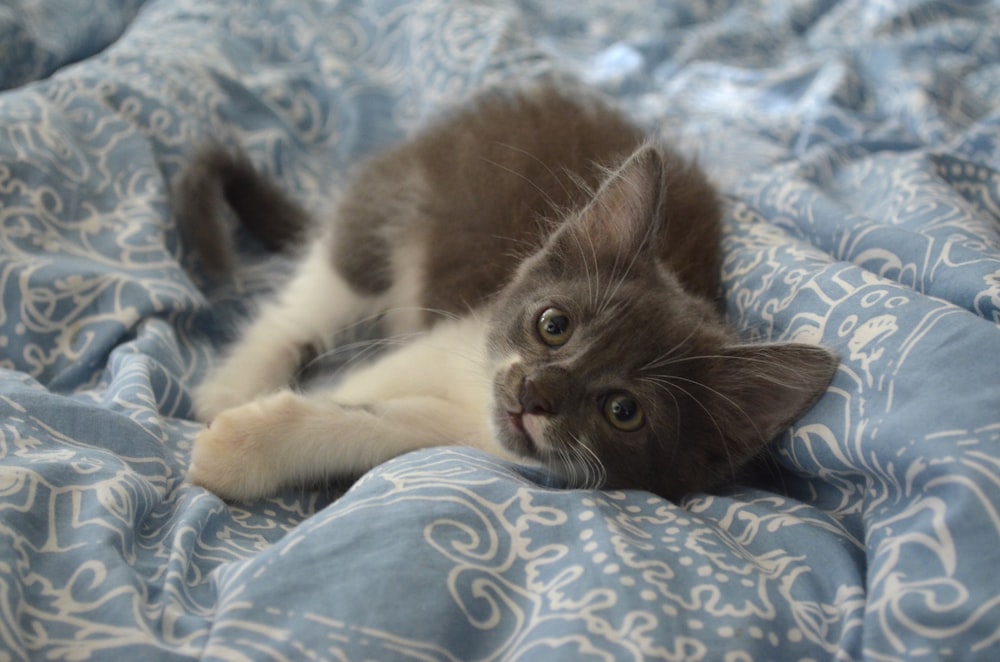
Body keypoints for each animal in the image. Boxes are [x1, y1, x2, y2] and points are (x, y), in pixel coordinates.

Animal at [176, 85, 840, 506]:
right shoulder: (453, 335)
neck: (473, 397)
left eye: (623, 411)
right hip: (399, 205)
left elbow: (366, 419)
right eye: (554, 325)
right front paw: (246, 425)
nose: (536, 392)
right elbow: (359, 384)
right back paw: (232, 385)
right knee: (308, 301)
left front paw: (246, 448)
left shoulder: (465, 433)